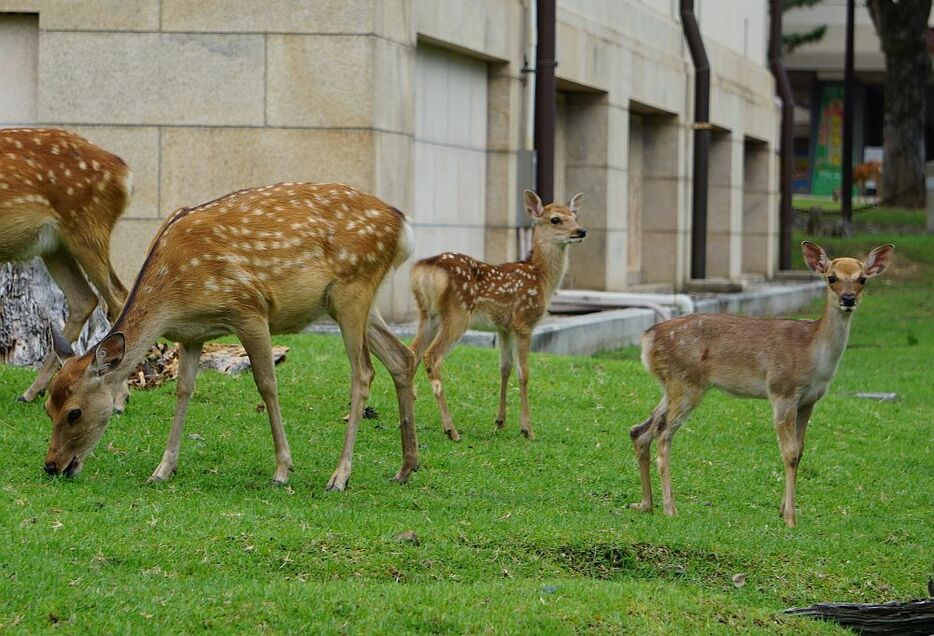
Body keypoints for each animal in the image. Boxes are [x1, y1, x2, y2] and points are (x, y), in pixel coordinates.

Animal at [0, 129, 130, 408]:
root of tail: (124, 172)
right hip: (54, 245)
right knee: (85, 298)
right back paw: (31, 392)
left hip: (88, 226)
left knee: (118, 297)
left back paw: (118, 399)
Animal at [44, 181, 416, 490]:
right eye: (48, 407)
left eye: (74, 413)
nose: (51, 466)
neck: (173, 297)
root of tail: (404, 228)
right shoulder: (191, 334)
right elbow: (184, 389)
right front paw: (162, 470)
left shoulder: (248, 310)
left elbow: (267, 384)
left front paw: (282, 470)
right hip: (353, 301)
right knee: (402, 356)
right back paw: (406, 467)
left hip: (353, 288)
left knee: (363, 372)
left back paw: (339, 476)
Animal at [414, 190, 588, 442]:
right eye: (555, 219)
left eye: (574, 216)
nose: (581, 231)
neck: (542, 279)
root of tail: (427, 269)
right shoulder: (524, 322)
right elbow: (524, 373)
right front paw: (527, 429)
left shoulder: (504, 327)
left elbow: (505, 368)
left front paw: (500, 421)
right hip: (457, 315)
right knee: (431, 357)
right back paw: (451, 429)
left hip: (427, 315)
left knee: (411, 353)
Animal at [632, 240, 896, 528]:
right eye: (831, 278)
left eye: (862, 279)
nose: (848, 299)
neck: (813, 354)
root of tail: (647, 340)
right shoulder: (782, 391)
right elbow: (789, 453)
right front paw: (790, 518)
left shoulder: (809, 401)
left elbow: (800, 451)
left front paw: (783, 510)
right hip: (686, 383)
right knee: (663, 434)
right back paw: (670, 508)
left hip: (672, 386)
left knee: (640, 429)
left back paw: (646, 504)